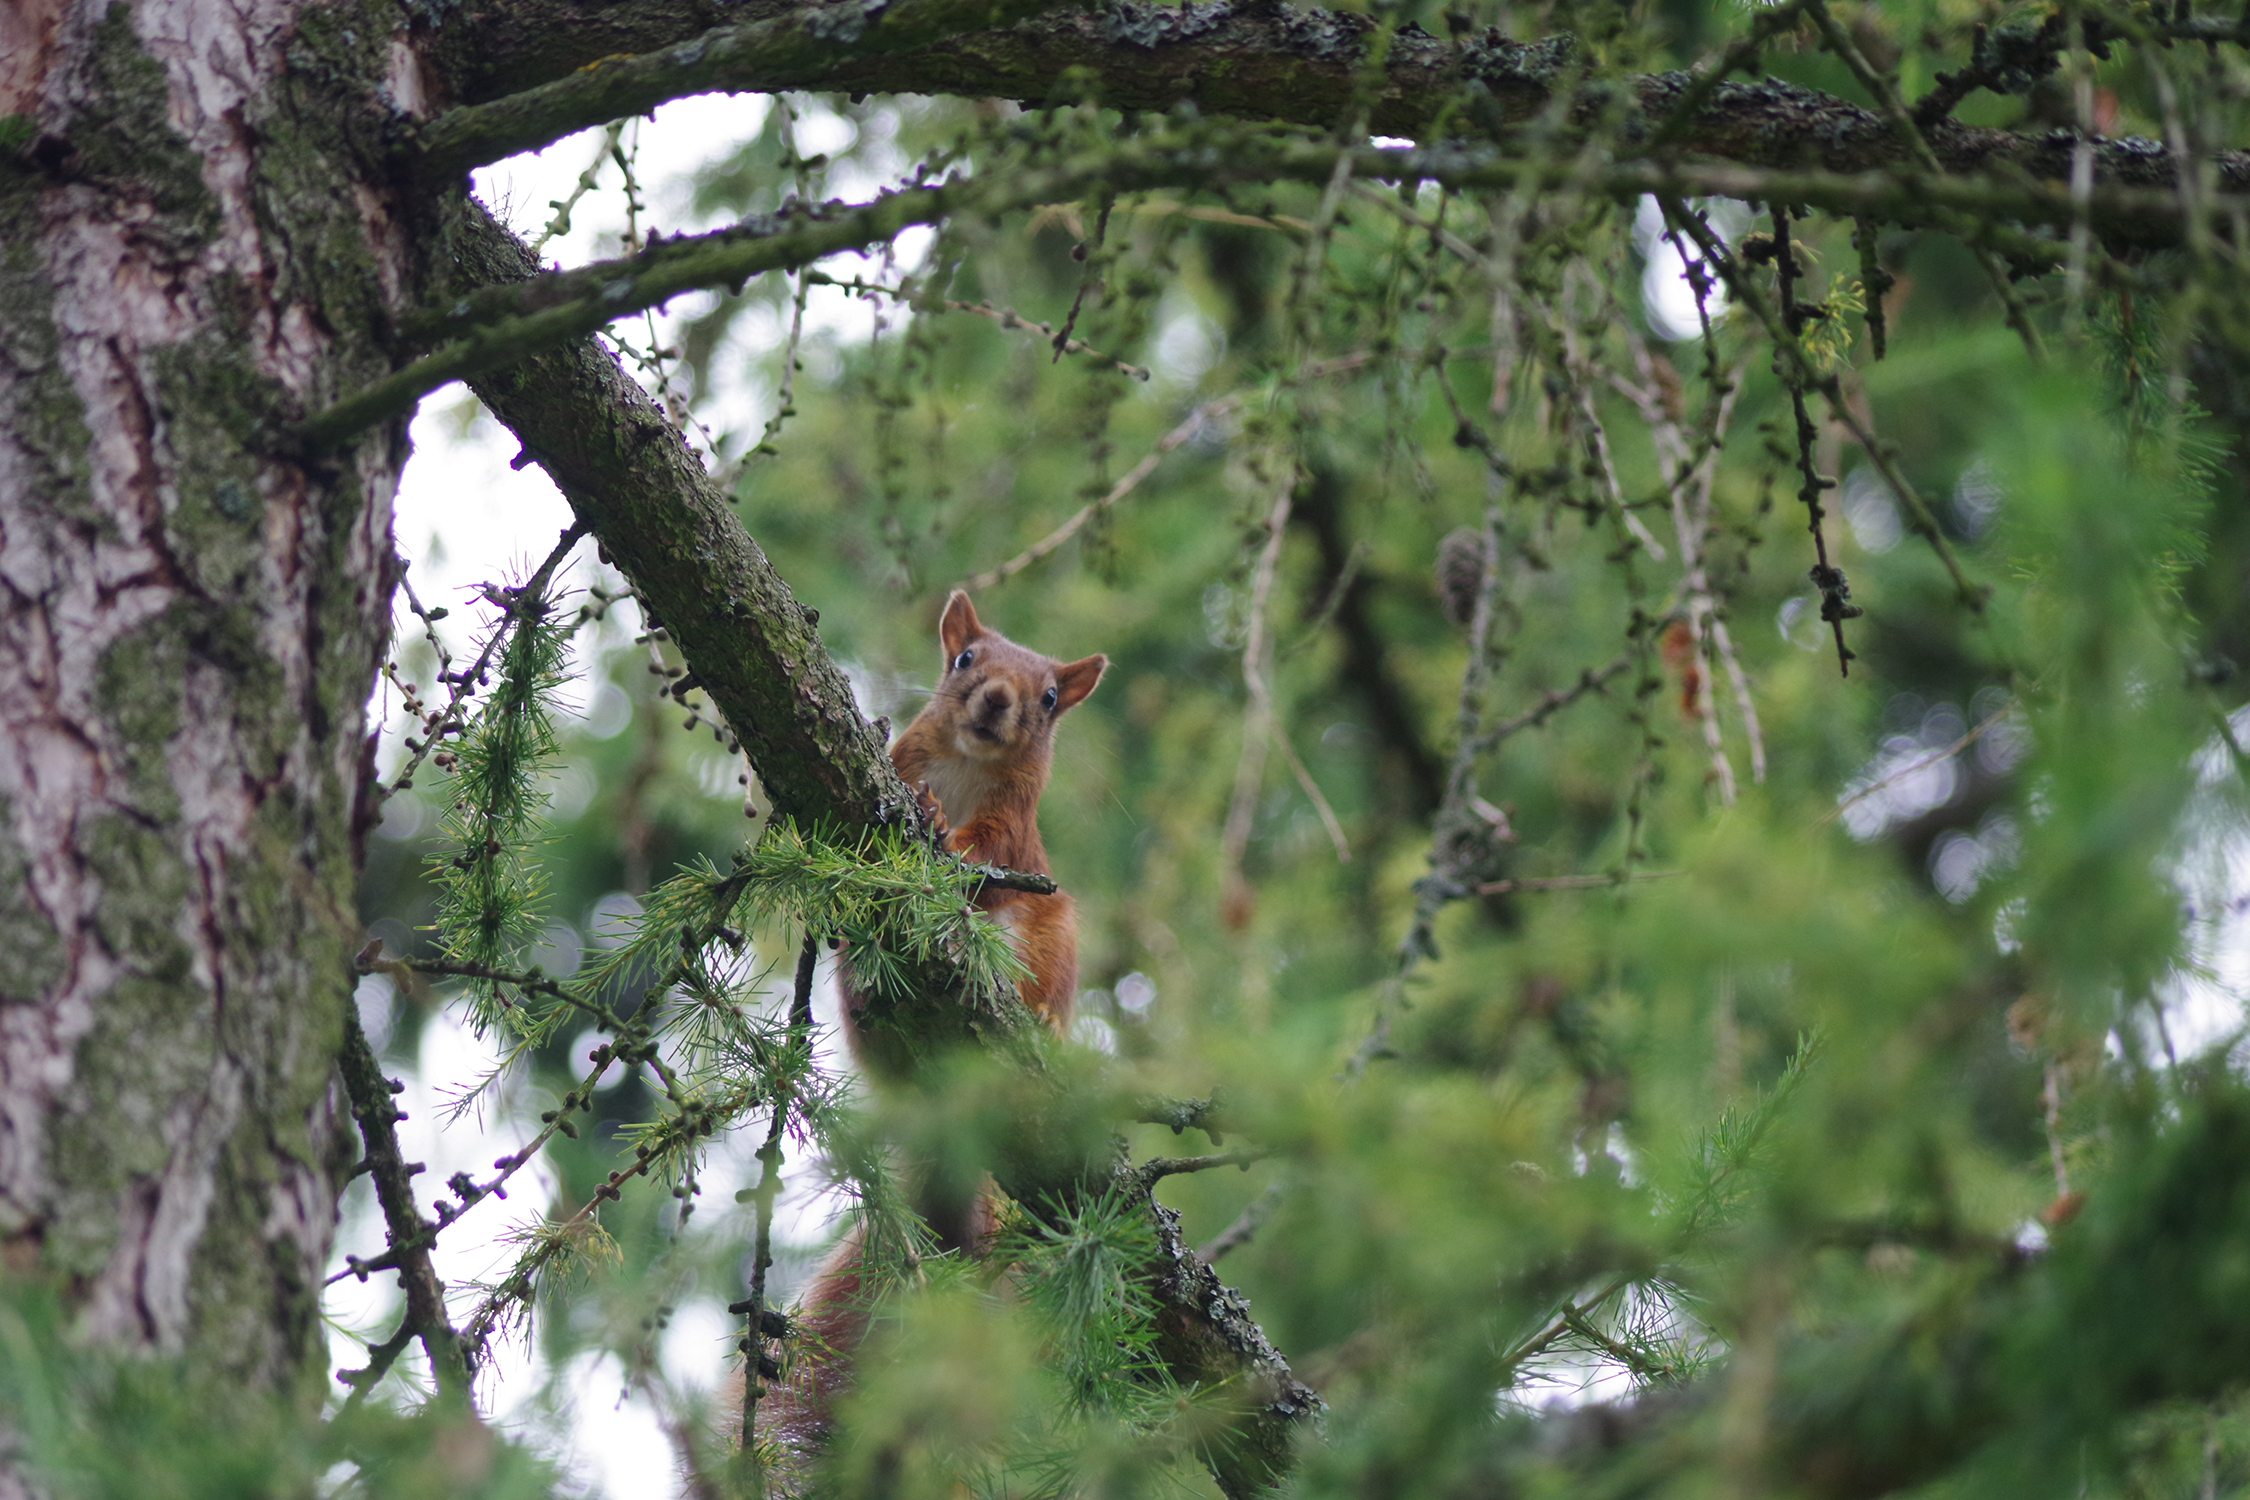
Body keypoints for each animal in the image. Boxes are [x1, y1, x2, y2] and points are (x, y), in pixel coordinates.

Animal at [756, 593, 1107, 1457]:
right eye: (966, 660)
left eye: (1051, 698)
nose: (998, 702)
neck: (969, 765)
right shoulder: (905, 761)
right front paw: (926, 810)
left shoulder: (1015, 829)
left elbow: (987, 856)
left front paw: (951, 836)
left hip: (1054, 940)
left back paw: (1039, 1024)